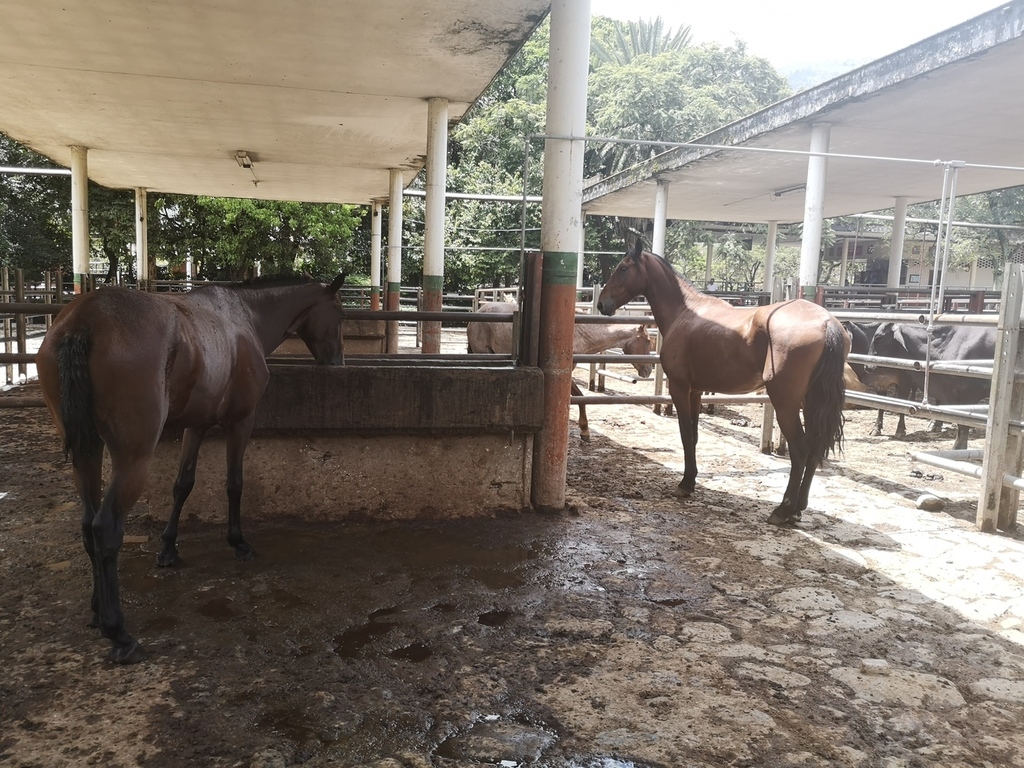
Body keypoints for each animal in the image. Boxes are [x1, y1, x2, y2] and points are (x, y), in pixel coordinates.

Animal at [35, 275, 347, 663]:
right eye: (339, 313)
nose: (338, 362)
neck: (244, 317)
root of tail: (83, 320)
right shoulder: (240, 422)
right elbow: (234, 483)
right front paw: (238, 542)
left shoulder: (196, 426)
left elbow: (183, 484)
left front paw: (169, 549)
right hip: (133, 457)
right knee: (105, 528)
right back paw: (119, 633)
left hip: (87, 453)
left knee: (88, 525)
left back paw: (96, 610)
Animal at [467, 301, 654, 441]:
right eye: (648, 340)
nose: (649, 370)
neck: (577, 332)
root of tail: (477, 313)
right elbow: (580, 397)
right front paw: (585, 430)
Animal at [597, 242, 848, 526]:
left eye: (623, 268)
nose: (602, 303)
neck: (685, 311)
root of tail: (827, 322)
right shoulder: (695, 392)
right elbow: (693, 436)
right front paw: (691, 480)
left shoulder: (680, 388)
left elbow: (685, 435)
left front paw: (685, 484)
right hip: (811, 401)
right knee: (816, 447)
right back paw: (798, 509)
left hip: (785, 402)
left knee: (801, 449)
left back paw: (783, 509)